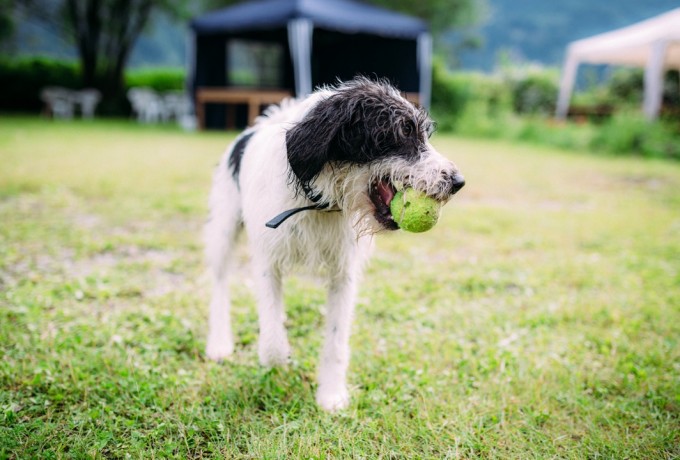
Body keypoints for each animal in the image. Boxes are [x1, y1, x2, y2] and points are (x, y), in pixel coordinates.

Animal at [204, 77, 465, 412]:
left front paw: (331, 395)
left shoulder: (344, 273)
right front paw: (279, 356)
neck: (318, 202)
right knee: (220, 281)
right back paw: (219, 342)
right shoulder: (267, 261)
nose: (458, 182)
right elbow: (272, 341)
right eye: (402, 132)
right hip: (223, 227)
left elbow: (337, 339)